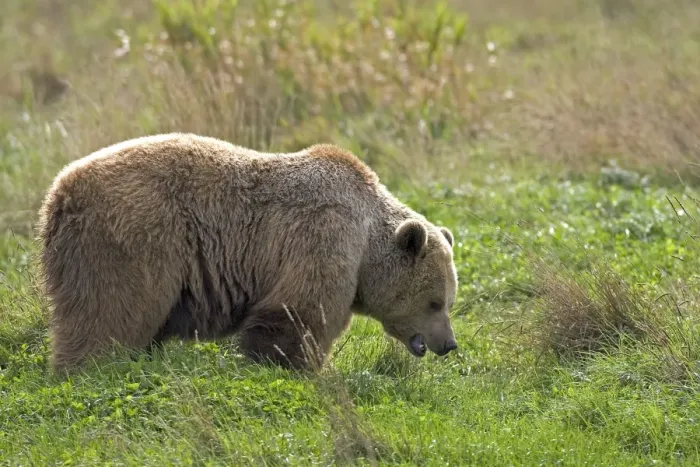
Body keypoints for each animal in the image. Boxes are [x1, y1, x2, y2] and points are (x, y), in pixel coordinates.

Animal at [36, 133, 459, 373]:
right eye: (435, 302)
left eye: (448, 301)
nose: (449, 344)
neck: (367, 239)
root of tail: (59, 192)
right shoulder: (324, 234)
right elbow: (298, 312)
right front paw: (291, 367)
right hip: (132, 239)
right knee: (109, 312)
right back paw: (91, 369)